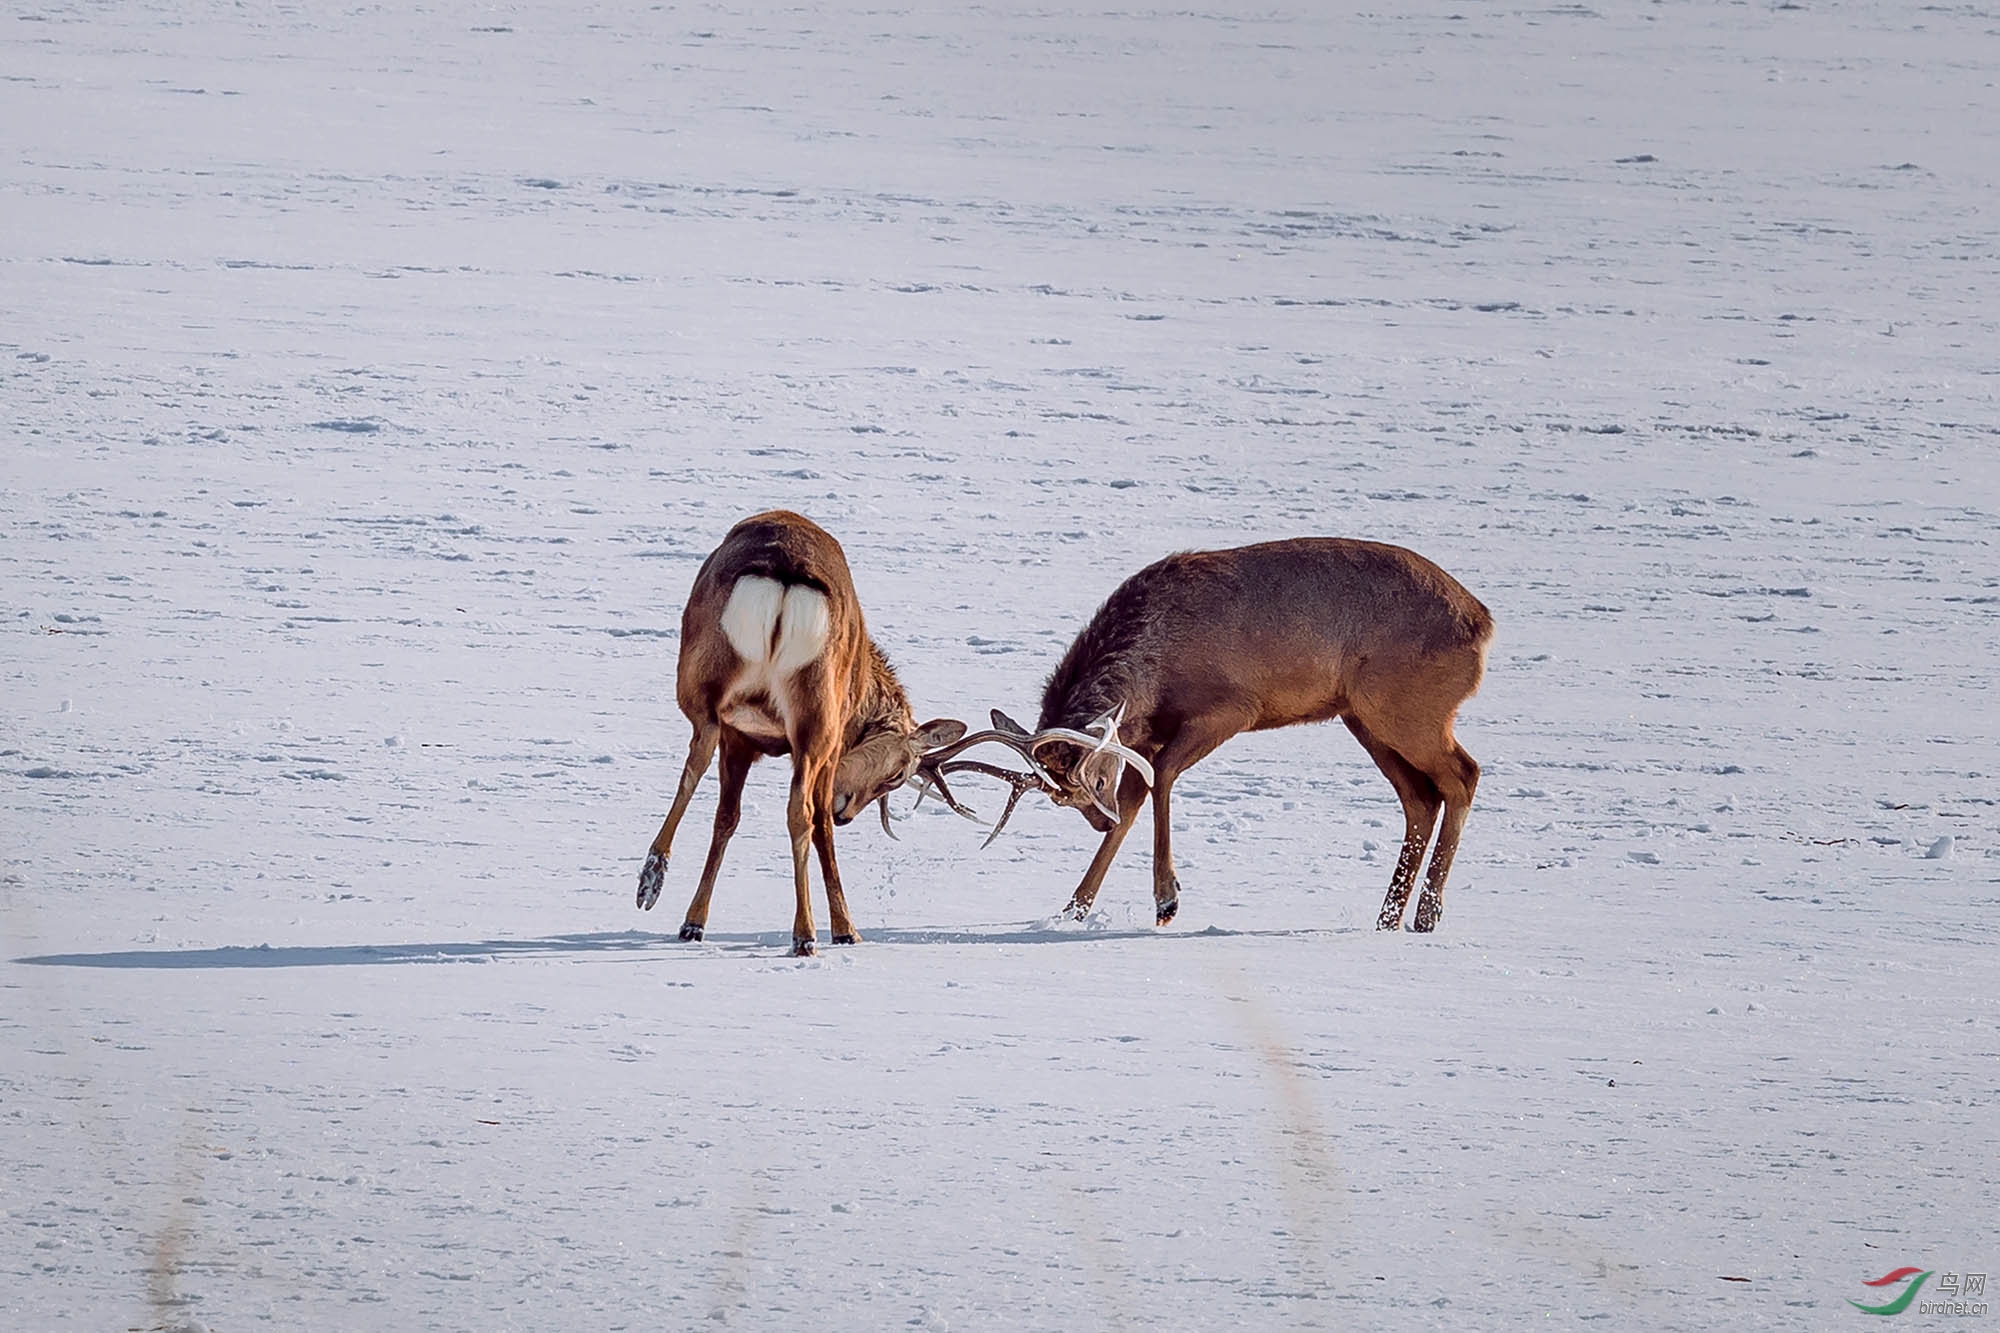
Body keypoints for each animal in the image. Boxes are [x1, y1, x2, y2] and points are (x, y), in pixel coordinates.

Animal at [632, 508, 960, 956]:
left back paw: (651, 879)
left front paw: (693, 922)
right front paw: (845, 929)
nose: (847, 815)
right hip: (815, 714)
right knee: (802, 813)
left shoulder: (741, 737)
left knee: (695, 762)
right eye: (897, 775)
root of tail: (786, 574)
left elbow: (726, 818)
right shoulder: (834, 745)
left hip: (707, 684)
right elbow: (820, 827)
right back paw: (805, 934)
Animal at [916, 536, 1496, 928]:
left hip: (1406, 706)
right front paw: (1073, 909)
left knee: (1462, 774)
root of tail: (1482, 622)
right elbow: (1137, 801)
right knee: (1420, 796)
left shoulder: (1230, 707)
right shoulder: (1144, 736)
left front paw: (1166, 898)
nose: (1097, 821)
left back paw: (1426, 914)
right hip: (1362, 716)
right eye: (1063, 798)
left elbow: (1161, 778)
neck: (1154, 672)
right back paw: (1389, 916)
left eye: (1095, 781)